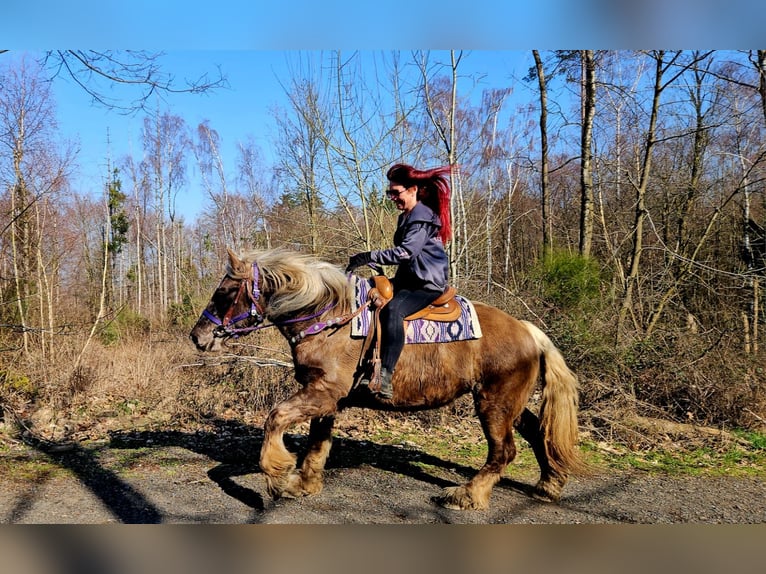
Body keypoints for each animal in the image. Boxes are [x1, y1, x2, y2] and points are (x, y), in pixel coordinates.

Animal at [189, 247, 581, 511]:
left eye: (224, 292)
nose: (197, 336)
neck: (330, 320)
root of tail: (529, 331)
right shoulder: (326, 396)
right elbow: (318, 442)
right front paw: (304, 482)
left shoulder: (322, 392)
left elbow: (276, 417)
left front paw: (277, 473)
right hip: (509, 401)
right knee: (537, 431)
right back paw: (549, 484)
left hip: (493, 402)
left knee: (504, 451)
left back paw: (467, 494)